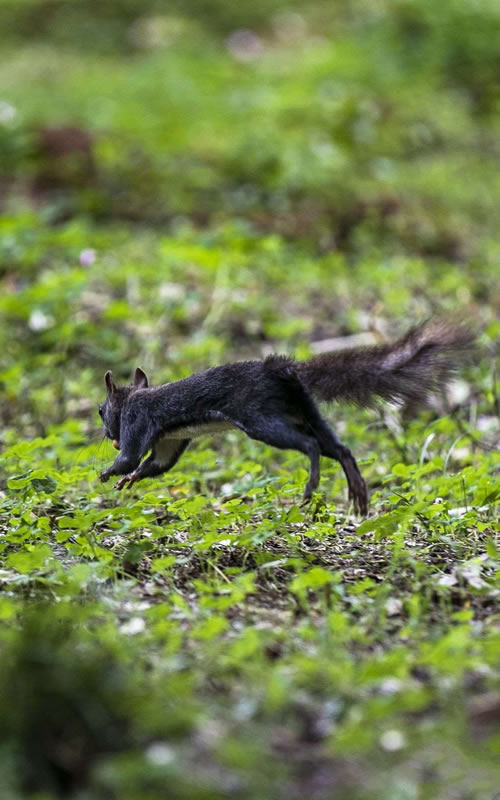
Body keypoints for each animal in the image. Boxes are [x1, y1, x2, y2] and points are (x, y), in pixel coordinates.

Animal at [97, 318, 472, 512]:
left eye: (101, 410)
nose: (106, 435)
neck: (134, 398)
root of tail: (283, 372)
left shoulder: (137, 420)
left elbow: (132, 458)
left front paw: (106, 473)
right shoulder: (170, 440)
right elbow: (156, 464)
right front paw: (126, 480)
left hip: (262, 419)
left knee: (311, 446)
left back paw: (310, 488)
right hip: (304, 411)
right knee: (339, 448)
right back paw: (357, 491)